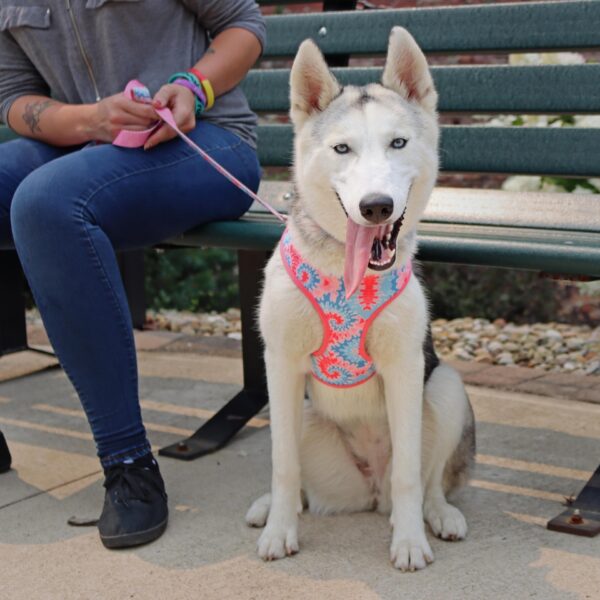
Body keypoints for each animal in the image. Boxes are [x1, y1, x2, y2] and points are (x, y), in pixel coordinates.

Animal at [246, 28, 476, 572]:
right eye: (342, 148)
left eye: (398, 143)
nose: (376, 207)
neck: (344, 277)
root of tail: (368, 490)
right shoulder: (280, 363)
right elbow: (282, 466)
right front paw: (280, 529)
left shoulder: (407, 366)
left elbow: (412, 473)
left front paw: (410, 539)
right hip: (297, 411)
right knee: (296, 477)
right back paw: (273, 507)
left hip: (446, 387)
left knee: (429, 480)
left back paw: (438, 513)